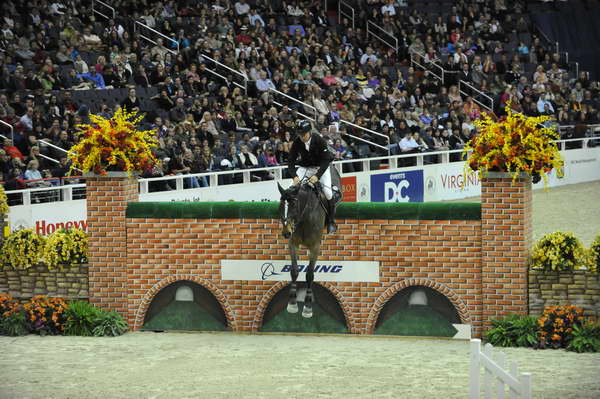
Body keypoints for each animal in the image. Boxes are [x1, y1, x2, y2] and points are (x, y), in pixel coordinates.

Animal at [278, 181, 328, 318]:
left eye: (294, 206)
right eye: (280, 206)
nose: (286, 233)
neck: (305, 217)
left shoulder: (315, 247)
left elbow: (309, 274)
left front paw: (308, 306)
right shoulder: (293, 243)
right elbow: (294, 271)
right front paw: (292, 303)